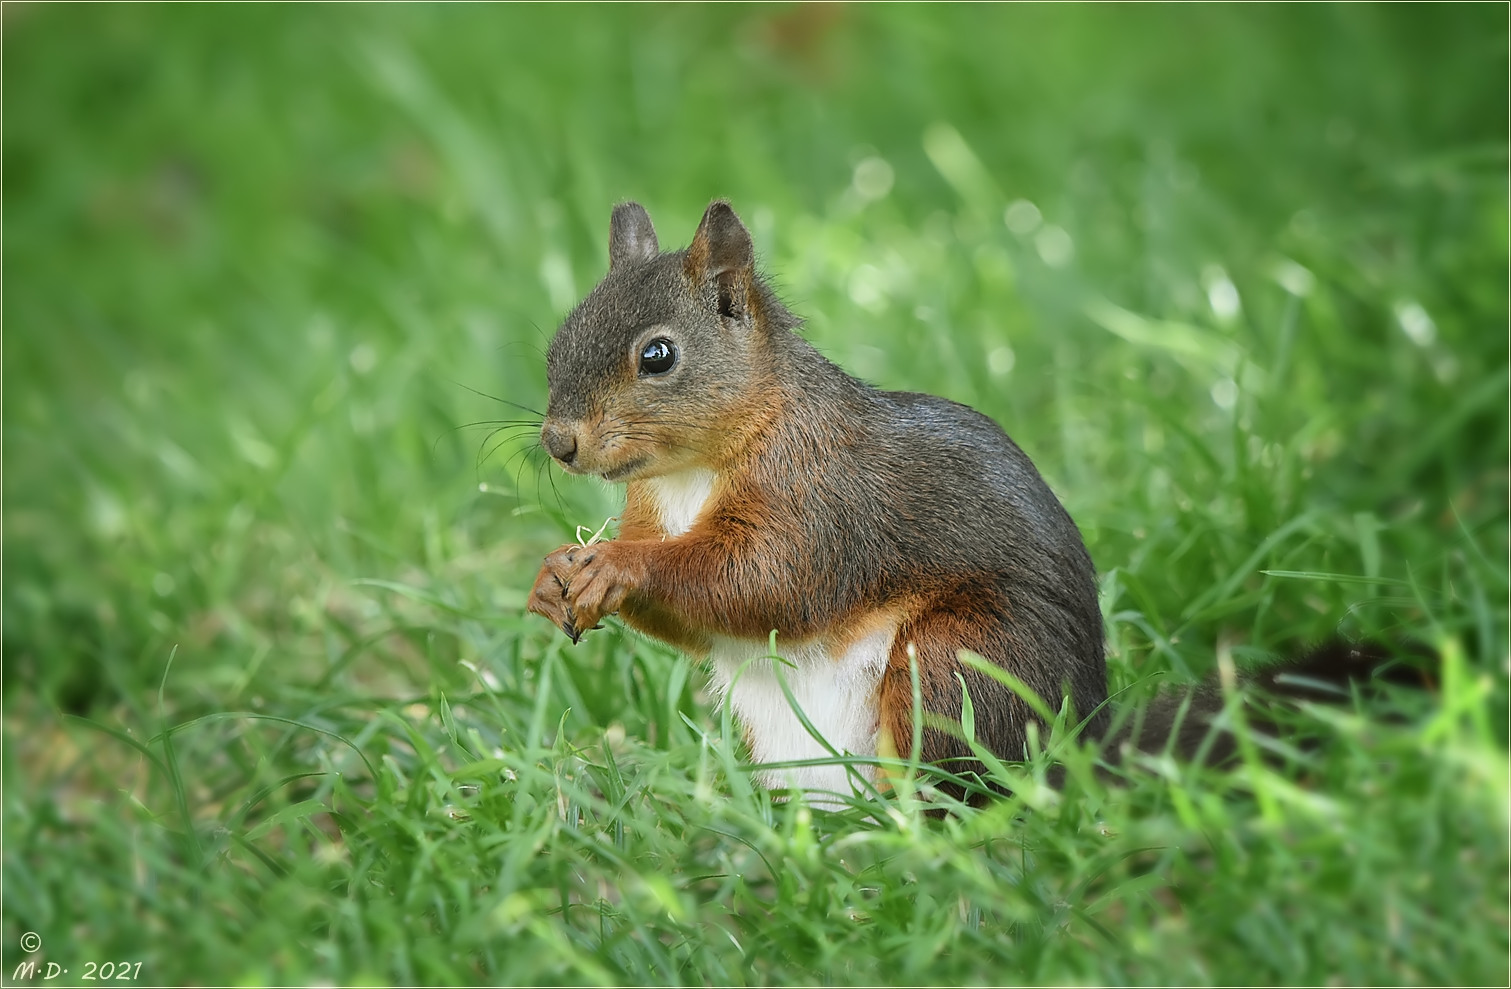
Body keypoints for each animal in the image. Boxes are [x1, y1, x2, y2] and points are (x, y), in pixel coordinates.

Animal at [525, 199, 1106, 797]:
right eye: (558, 345)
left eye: (658, 355)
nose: (558, 443)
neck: (688, 473)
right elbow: (697, 621)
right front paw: (550, 576)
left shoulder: (819, 498)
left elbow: (765, 579)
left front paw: (614, 564)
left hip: (963, 660)